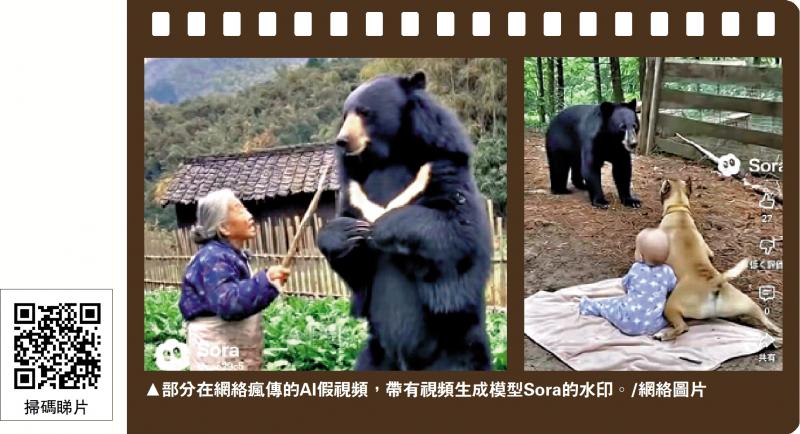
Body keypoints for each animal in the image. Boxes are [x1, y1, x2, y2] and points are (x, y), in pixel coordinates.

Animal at [316, 71, 493, 371]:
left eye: (364, 112)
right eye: (345, 115)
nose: (342, 141)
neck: (388, 158)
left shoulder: (441, 165)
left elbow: (458, 230)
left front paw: (382, 226)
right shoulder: (353, 190)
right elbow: (355, 265)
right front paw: (349, 232)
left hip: (456, 347)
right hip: (375, 354)